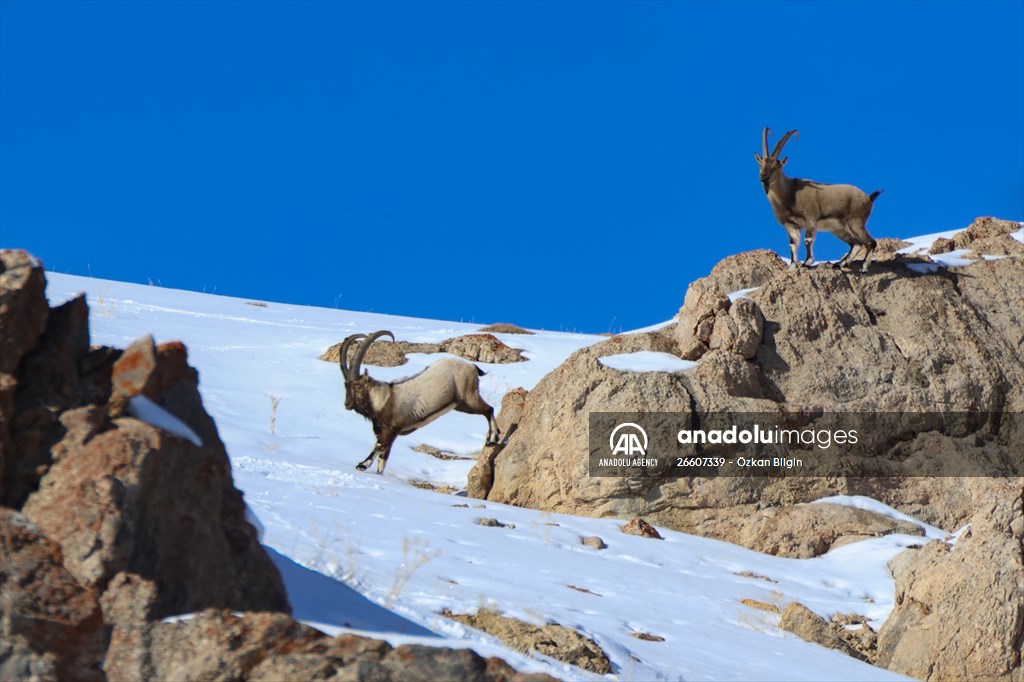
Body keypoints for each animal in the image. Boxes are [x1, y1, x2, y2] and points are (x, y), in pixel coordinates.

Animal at [339, 330, 501, 474]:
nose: (347, 404)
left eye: (358, 386)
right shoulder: (388, 434)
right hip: (460, 405)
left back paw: (493, 439)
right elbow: (383, 459)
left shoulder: (391, 429)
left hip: (468, 398)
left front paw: (362, 465)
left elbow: (378, 447)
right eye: (346, 385)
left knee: (488, 409)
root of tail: (472, 367)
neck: (383, 398)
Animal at [755, 128, 883, 272]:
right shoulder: (790, 224)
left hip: (856, 222)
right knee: (856, 244)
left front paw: (807, 262)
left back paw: (863, 268)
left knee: (870, 242)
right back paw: (839, 264)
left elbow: (807, 240)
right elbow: (793, 244)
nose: (762, 176)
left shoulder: (810, 219)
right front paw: (792, 267)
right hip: (839, 229)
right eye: (761, 164)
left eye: (775, 166)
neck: (789, 194)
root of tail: (868, 198)